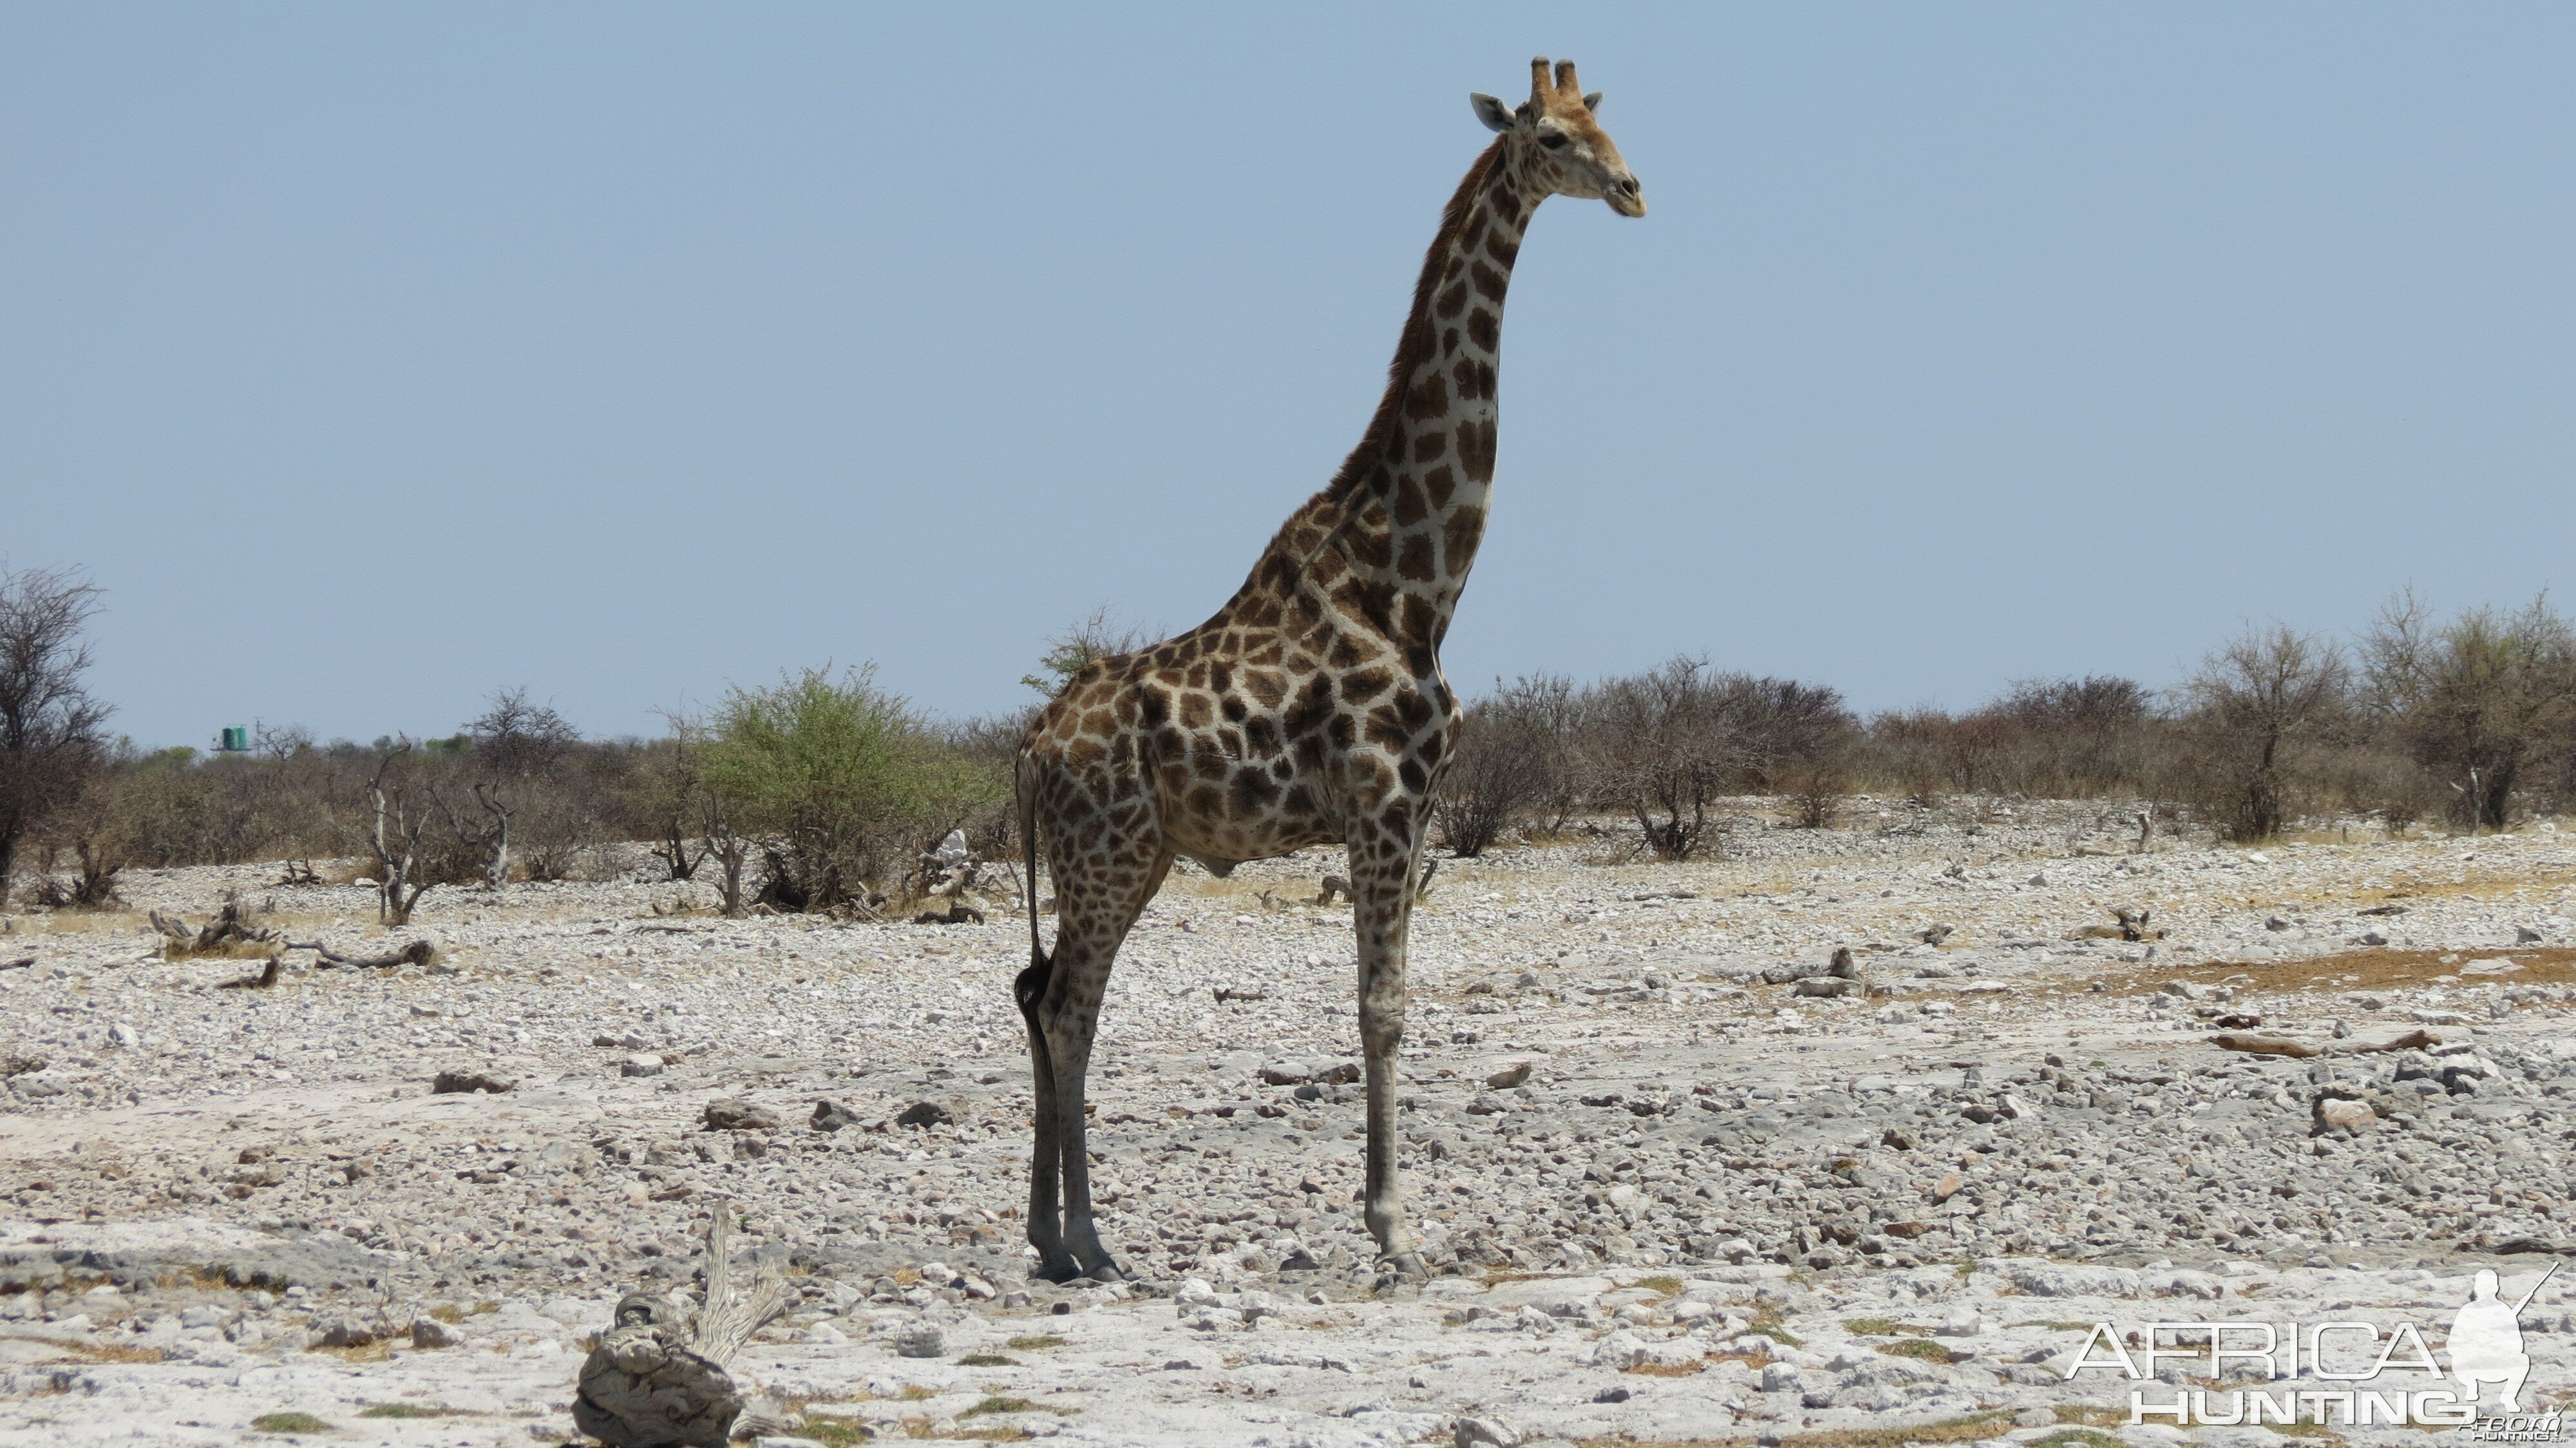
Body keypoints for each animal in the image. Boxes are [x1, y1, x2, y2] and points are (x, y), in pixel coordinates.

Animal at [1015, 59, 1638, 1273]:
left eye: (1608, 124)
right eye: (1551, 137)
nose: (1636, 190)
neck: (1416, 577)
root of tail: (1025, 748)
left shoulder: (1417, 803)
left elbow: (1388, 999)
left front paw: (1390, 1216)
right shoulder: (1384, 798)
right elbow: (1381, 1005)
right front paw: (1393, 1227)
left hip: (1129, 855)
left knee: (1049, 992)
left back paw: (1055, 1240)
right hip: (1106, 854)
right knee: (1066, 1004)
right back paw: (1089, 1240)